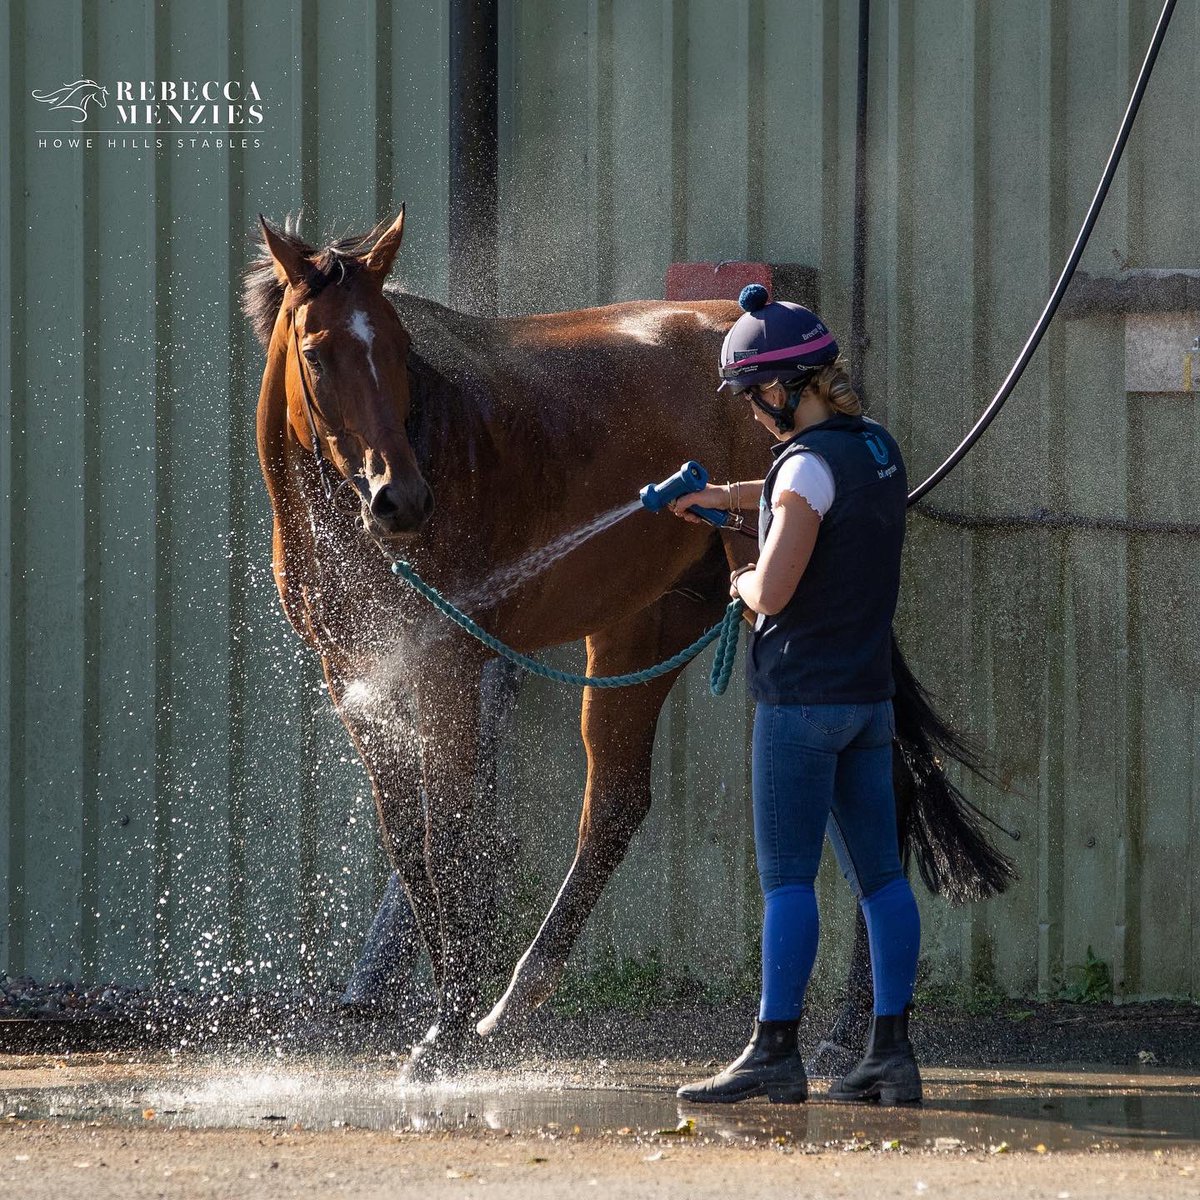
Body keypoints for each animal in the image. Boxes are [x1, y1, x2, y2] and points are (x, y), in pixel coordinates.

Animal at [244, 207, 1015, 1076]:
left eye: (399, 347)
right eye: (317, 353)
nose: (400, 499)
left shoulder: (446, 667)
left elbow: (452, 838)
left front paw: (447, 1031)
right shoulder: (355, 678)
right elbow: (410, 845)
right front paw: (453, 1020)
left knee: (864, 794)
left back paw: (853, 1028)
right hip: (641, 632)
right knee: (618, 804)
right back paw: (521, 996)